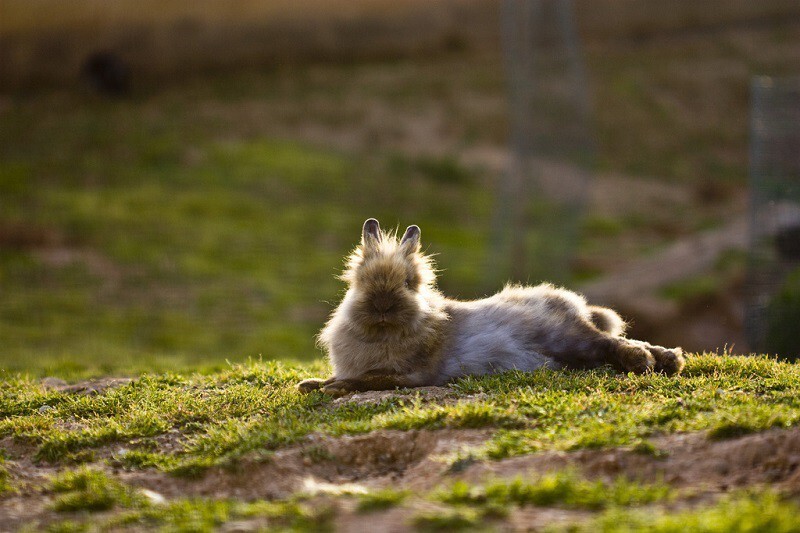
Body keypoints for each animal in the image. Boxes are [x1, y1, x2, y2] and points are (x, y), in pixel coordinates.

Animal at [296, 217, 684, 394]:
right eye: (359, 281)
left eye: (409, 283)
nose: (382, 306)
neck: (382, 334)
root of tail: (575, 305)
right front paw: (311, 383)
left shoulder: (412, 375)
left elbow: (369, 379)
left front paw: (330, 388)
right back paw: (668, 361)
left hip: (569, 338)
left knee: (611, 343)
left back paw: (646, 362)